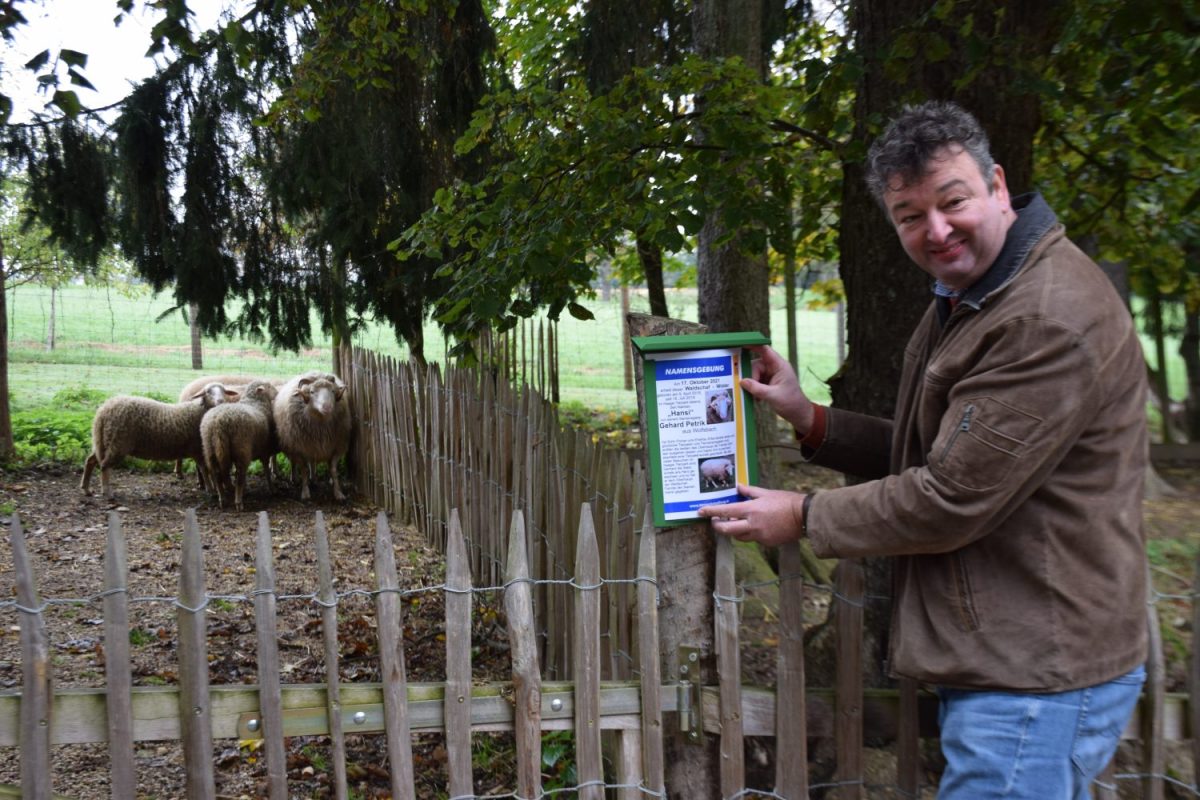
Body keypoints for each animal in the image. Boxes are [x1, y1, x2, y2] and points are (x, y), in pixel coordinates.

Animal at [79, 383, 238, 501]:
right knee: (104, 466)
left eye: (224, 391)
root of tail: (102, 411)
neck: (199, 410)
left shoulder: (199, 450)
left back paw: (86, 489)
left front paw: (211, 488)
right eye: (208, 392)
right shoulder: (198, 449)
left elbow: (205, 470)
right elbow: (205, 470)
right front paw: (211, 491)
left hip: (103, 442)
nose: (220, 401)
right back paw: (107, 492)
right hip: (117, 443)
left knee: (91, 461)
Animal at [201, 379, 278, 510]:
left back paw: (222, 499)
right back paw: (238, 502)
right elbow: (266, 470)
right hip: (242, 448)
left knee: (217, 474)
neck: (255, 401)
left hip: (210, 449)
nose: (277, 393)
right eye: (268, 386)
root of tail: (218, 424)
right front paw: (271, 489)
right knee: (239, 475)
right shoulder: (265, 449)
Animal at [277, 371, 355, 501]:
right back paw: (294, 478)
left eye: (332, 391)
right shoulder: (299, 449)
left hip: (312, 446)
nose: (327, 407)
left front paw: (338, 493)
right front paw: (305, 492)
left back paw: (314, 479)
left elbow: (333, 470)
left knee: (312, 463)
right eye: (312, 392)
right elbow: (303, 470)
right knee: (294, 463)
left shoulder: (337, 448)